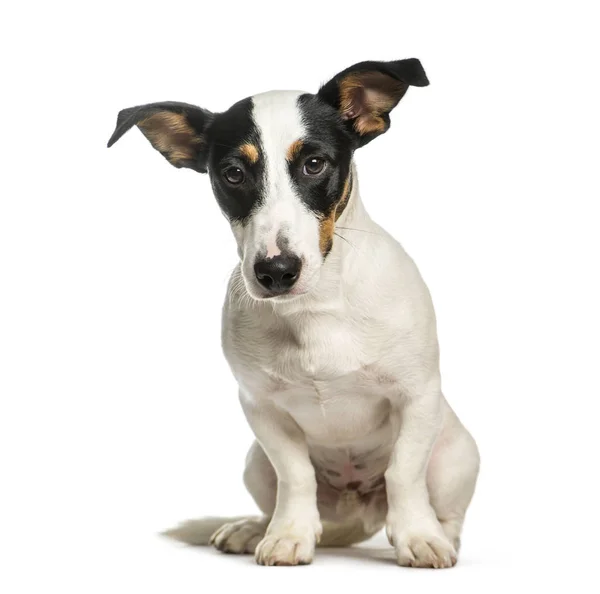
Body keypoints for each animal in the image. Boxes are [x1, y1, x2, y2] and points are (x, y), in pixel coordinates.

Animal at [109, 57, 478, 568]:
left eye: (314, 163)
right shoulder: (261, 409)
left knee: (441, 505)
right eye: (233, 173)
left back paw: (440, 534)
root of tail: (355, 509)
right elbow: (295, 475)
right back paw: (253, 528)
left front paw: (418, 536)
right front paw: (289, 535)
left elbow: (404, 472)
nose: (276, 271)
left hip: (456, 453)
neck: (314, 308)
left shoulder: (417, 397)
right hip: (255, 464)